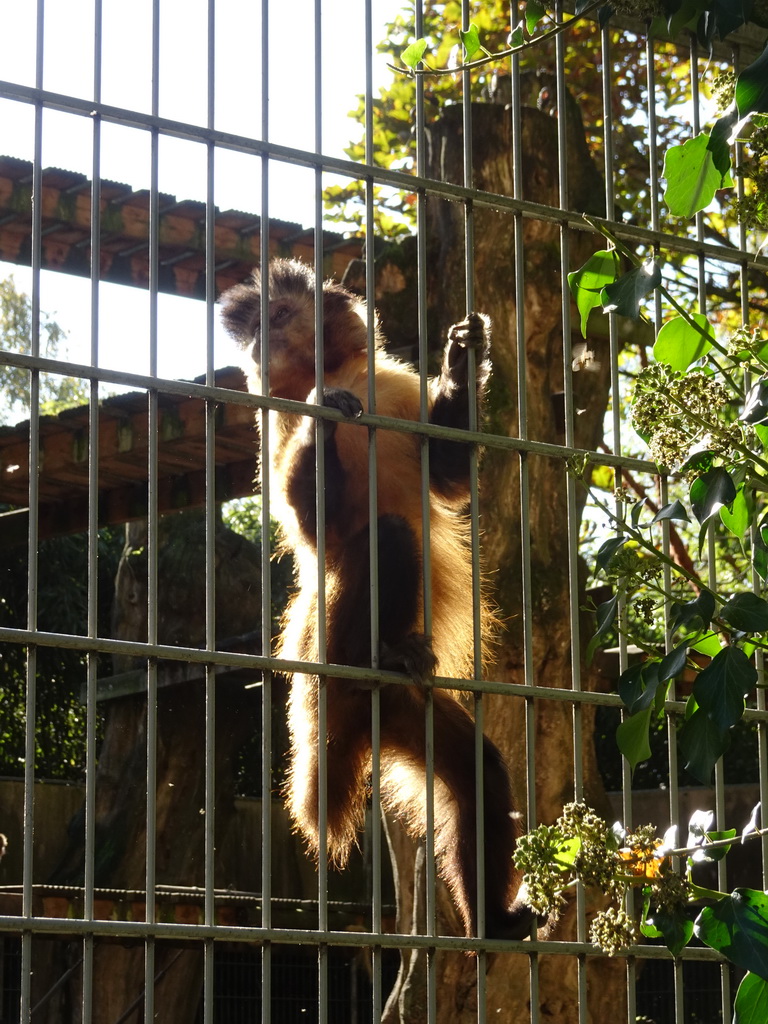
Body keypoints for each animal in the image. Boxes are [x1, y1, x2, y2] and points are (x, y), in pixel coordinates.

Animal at [221, 260, 536, 937]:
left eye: (276, 317)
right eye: (257, 327)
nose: (260, 343)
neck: (338, 371)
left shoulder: (393, 388)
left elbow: (448, 478)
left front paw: (463, 361)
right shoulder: (275, 420)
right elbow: (315, 525)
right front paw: (323, 416)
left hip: (397, 711)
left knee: (476, 773)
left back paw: (491, 923)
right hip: (331, 632)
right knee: (384, 539)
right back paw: (385, 652)